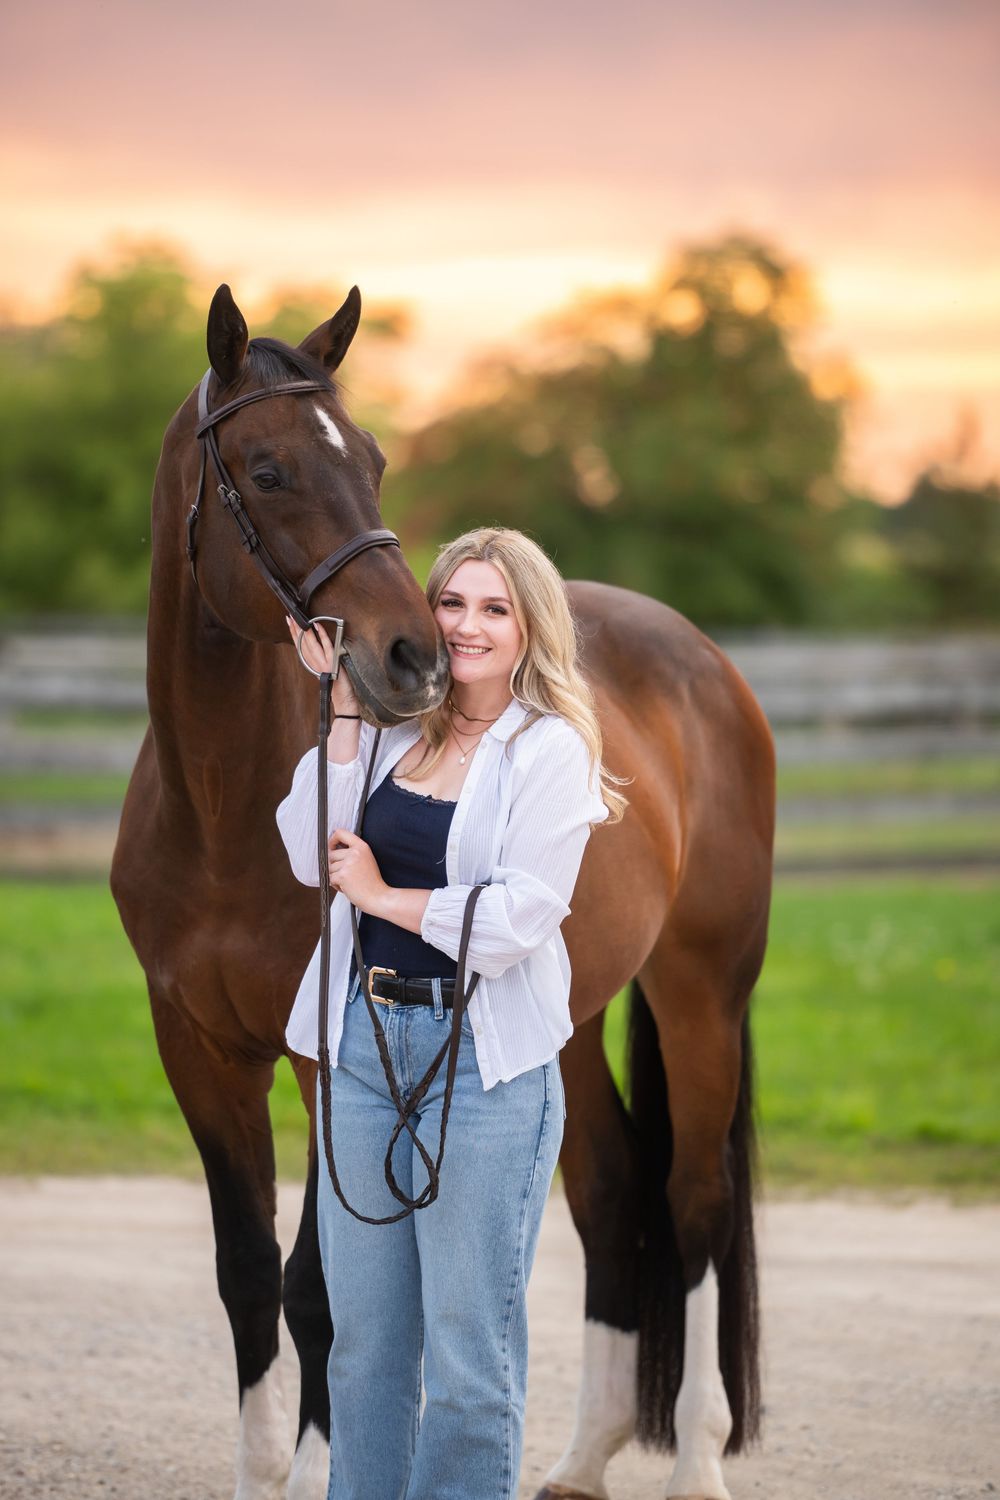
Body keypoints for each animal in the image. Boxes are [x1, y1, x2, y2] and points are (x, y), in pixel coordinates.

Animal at [111, 283, 774, 1500]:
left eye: (373, 460)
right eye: (267, 469)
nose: (412, 655)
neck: (222, 808)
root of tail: (702, 661)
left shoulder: (326, 1052)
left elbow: (318, 1290)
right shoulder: (197, 1048)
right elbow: (245, 1275)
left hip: (702, 993)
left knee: (694, 1205)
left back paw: (698, 1464)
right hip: (563, 1016)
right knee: (611, 1191)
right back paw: (579, 1459)